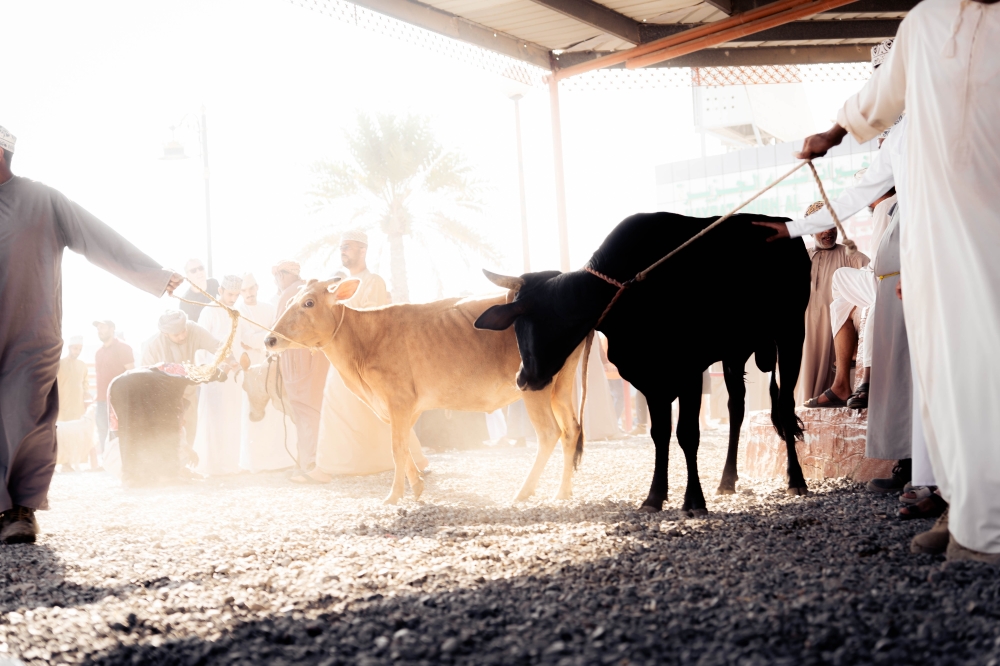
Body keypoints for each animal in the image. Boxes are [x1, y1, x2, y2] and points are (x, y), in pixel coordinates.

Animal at [264, 279, 584, 505]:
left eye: (308, 302)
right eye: (289, 301)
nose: (269, 339)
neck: (364, 341)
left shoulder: (398, 400)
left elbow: (397, 448)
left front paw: (394, 496)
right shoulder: (402, 407)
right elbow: (406, 445)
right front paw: (417, 487)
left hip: (535, 384)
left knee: (549, 433)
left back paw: (524, 491)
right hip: (561, 386)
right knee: (571, 430)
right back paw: (563, 492)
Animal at [474, 212, 812, 515]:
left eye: (521, 324)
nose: (522, 379)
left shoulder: (688, 370)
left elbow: (687, 434)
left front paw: (693, 501)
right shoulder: (649, 379)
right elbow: (659, 434)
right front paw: (654, 497)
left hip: (792, 332)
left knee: (784, 405)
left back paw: (795, 479)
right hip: (735, 351)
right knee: (736, 408)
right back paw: (727, 480)